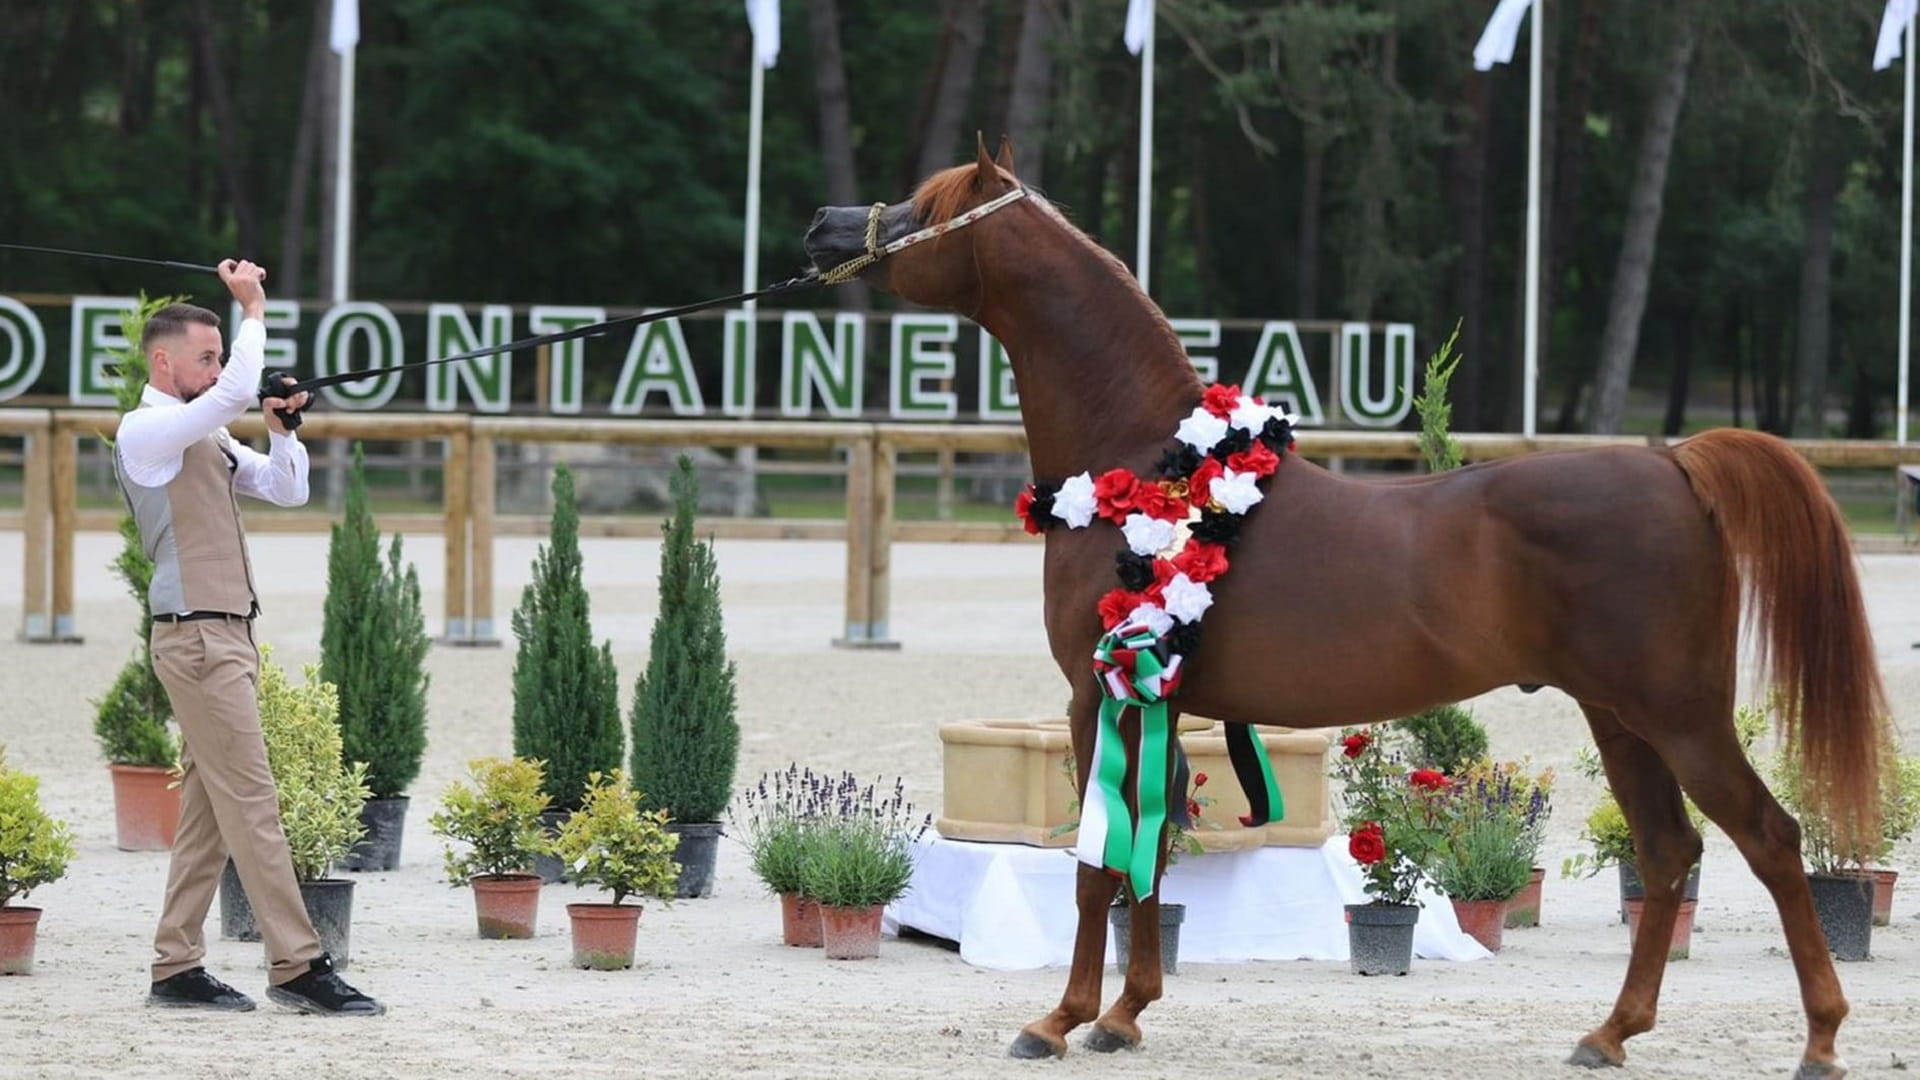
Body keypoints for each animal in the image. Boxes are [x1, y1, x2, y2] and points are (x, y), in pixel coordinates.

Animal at [801, 136, 1890, 1079]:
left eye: (925, 208)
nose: (823, 223)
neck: (1147, 462)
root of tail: (1673, 463)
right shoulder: (1155, 701)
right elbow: (1153, 852)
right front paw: (1125, 1015)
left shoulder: (1098, 696)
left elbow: (1097, 865)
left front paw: (1059, 1019)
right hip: (1623, 721)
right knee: (1670, 856)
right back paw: (1611, 1034)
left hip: (1681, 716)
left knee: (1771, 841)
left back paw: (1821, 1040)